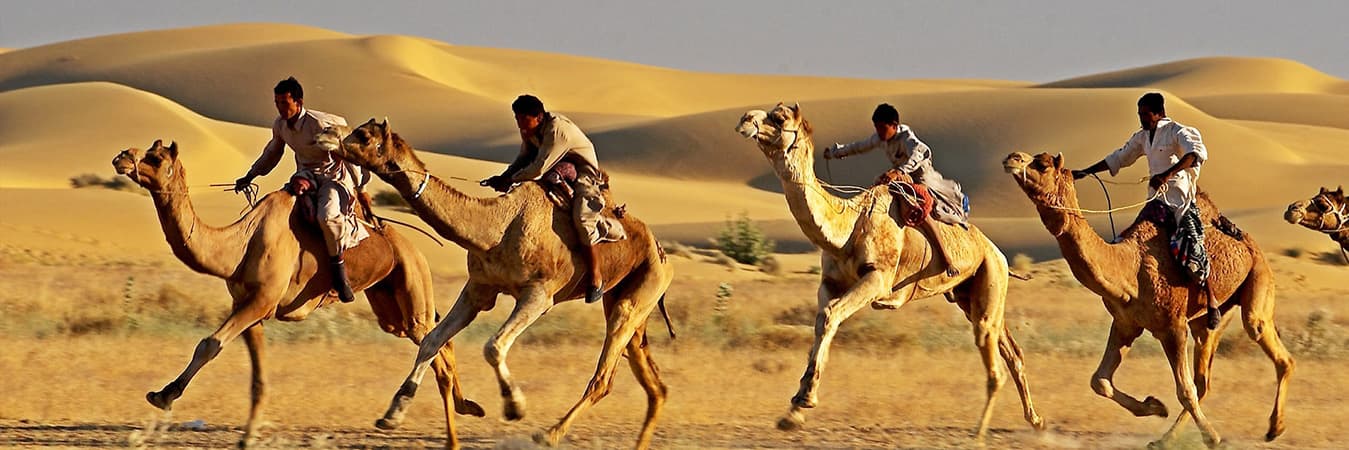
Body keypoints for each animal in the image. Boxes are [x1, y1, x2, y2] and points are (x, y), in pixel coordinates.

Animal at [111, 140, 484, 448]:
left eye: (156, 157)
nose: (121, 156)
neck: (239, 244)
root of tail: (412, 248)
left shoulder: (261, 301)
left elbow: (209, 344)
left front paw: (164, 395)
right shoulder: (250, 306)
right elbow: (257, 376)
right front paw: (248, 436)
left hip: (413, 281)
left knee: (434, 344)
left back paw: (419, 425)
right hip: (389, 308)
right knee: (438, 341)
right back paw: (465, 409)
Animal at [317, 120, 675, 449]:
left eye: (363, 136)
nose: (325, 134)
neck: (497, 227)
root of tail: (661, 250)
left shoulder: (539, 294)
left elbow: (492, 346)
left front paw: (515, 406)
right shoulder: (478, 289)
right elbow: (431, 341)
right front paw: (393, 413)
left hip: (640, 290)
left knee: (604, 377)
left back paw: (548, 434)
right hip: (625, 301)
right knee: (652, 382)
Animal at [734, 104, 1044, 443]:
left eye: (779, 118)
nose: (745, 120)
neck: (849, 228)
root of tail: (998, 253)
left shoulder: (877, 279)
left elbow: (831, 315)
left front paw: (803, 400)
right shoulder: (830, 282)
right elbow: (822, 322)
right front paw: (793, 412)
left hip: (990, 276)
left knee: (994, 357)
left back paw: (979, 432)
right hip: (968, 295)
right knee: (1012, 351)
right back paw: (1036, 420)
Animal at [1003, 151, 1294, 448]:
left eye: (1042, 164)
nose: (1012, 158)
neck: (1129, 268)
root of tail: (1248, 241)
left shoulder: (1173, 326)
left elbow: (1184, 389)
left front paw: (1213, 438)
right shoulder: (1125, 323)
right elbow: (1100, 381)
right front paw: (1155, 406)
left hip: (1258, 279)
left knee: (1268, 343)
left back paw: (1274, 428)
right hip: (1211, 317)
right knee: (1204, 379)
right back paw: (1166, 439)